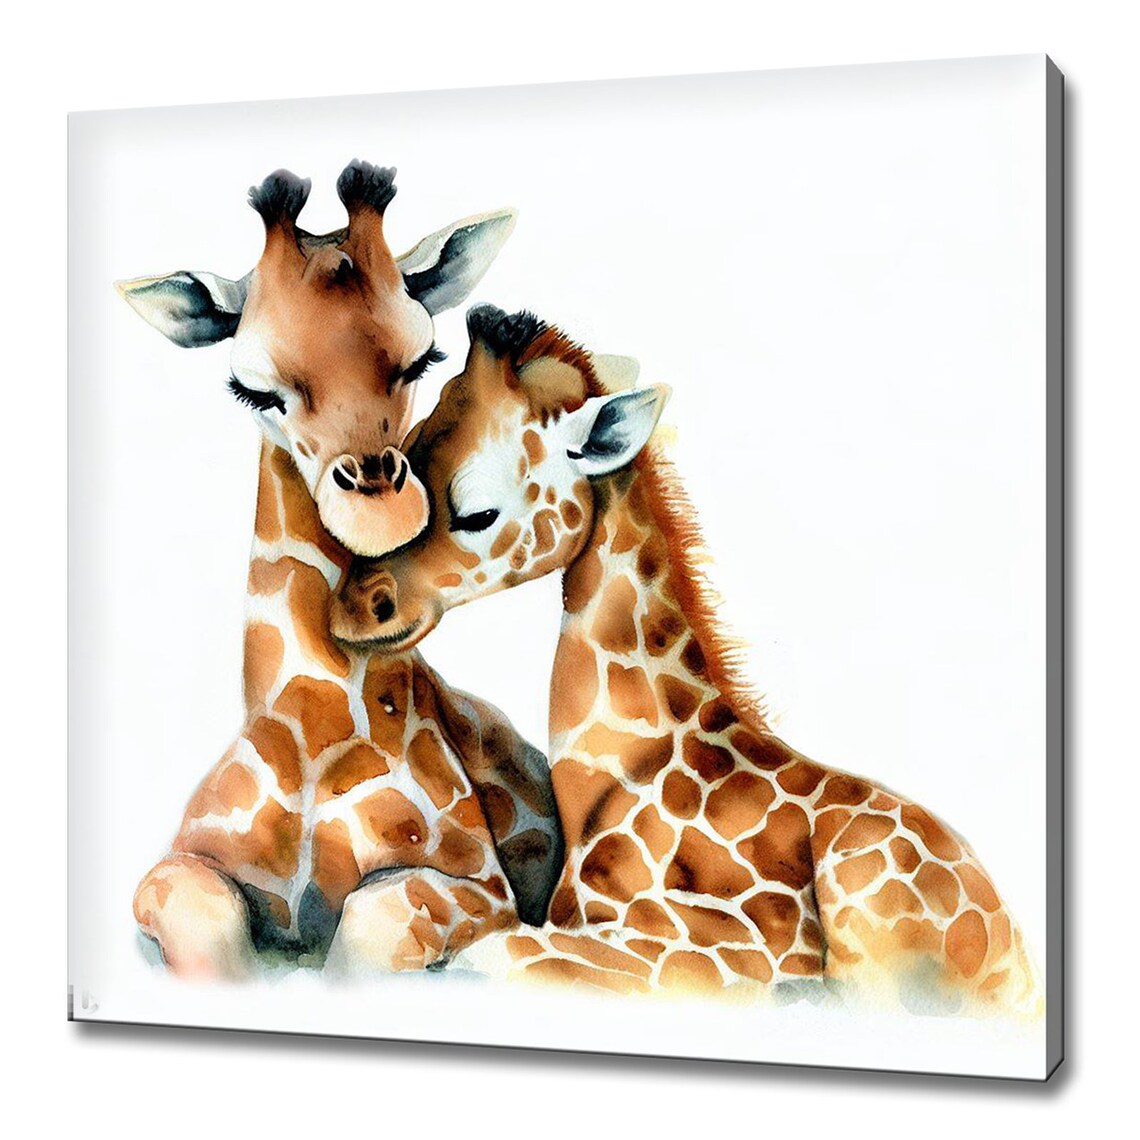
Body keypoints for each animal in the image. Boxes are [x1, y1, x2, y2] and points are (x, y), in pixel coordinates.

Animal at [120, 168, 562, 980]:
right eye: (251, 389)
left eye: (423, 360)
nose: (380, 510)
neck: (309, 737)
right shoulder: (181, 867)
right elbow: (208, 926)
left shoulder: (480, 889)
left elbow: (370, 924)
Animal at [332, 304, 1042, 1015]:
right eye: (409, 452)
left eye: (477, 511)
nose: (354, 608)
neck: (628, 766)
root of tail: (1018, 962)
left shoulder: (748, 952)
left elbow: (492, 955)